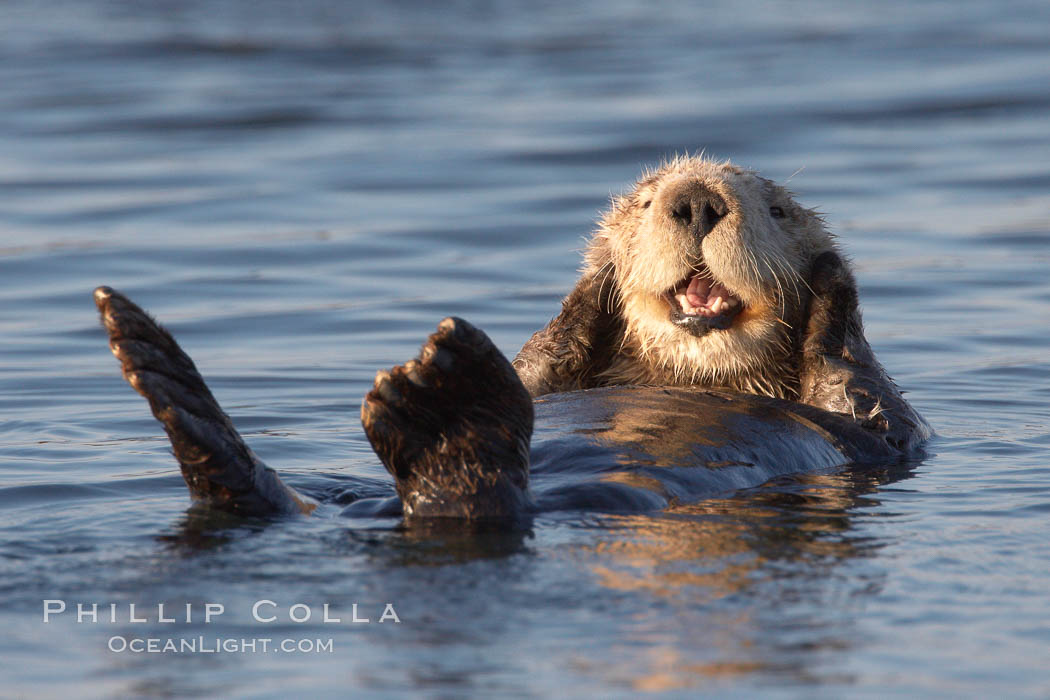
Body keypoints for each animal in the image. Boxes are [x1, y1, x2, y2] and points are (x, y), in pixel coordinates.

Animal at [94, 156, 932, 522]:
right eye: (644, 199)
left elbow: (860, 395)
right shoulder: (551, 373)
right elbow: (541, 365)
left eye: (779, 211)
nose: (695, 200)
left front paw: (833, 286)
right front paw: (592, 286)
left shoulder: (891, 428)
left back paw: (441, 406)